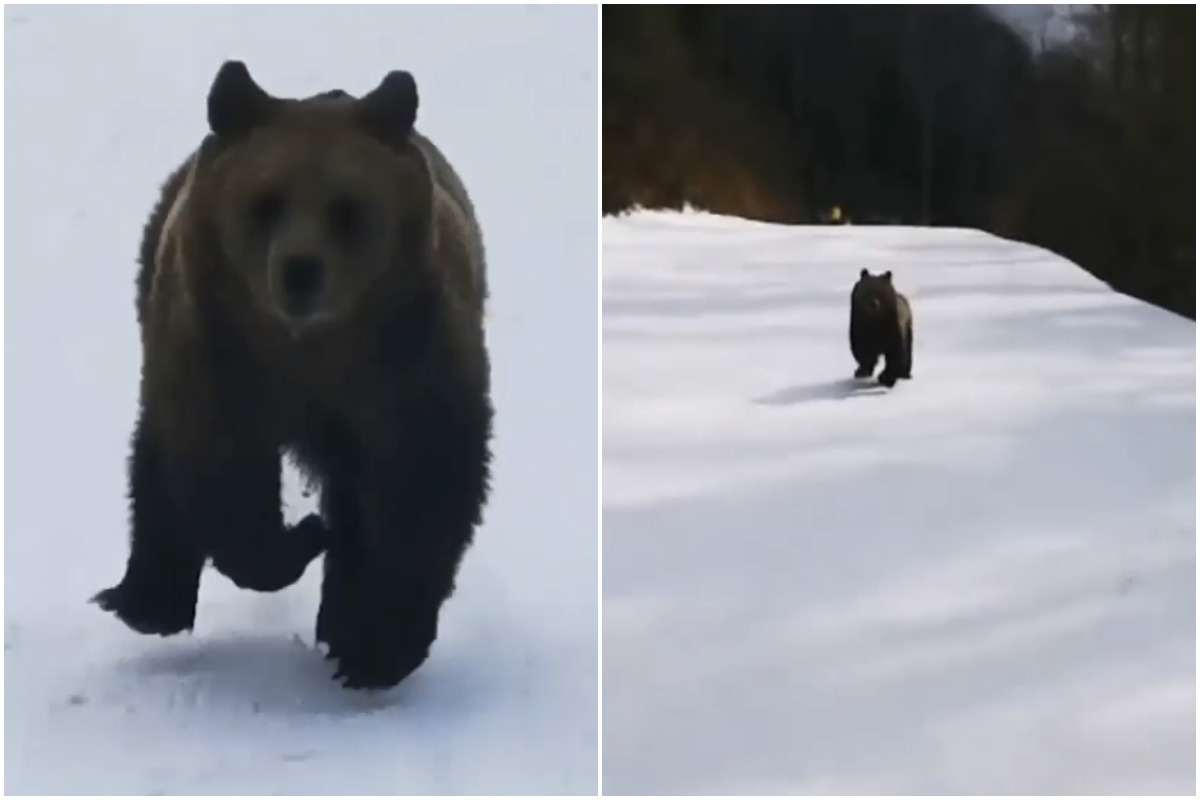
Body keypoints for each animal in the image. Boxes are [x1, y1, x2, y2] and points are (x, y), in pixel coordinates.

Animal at [88, 59, 492, 690]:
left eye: (347, 207)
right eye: (266, 200)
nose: (300, 271)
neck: (309, 349)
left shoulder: (405, 368)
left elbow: (422, 484)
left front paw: (374, 645)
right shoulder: (223, 356)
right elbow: (222, 470)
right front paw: (301, 537)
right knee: (157, 451)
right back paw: (149, 598)